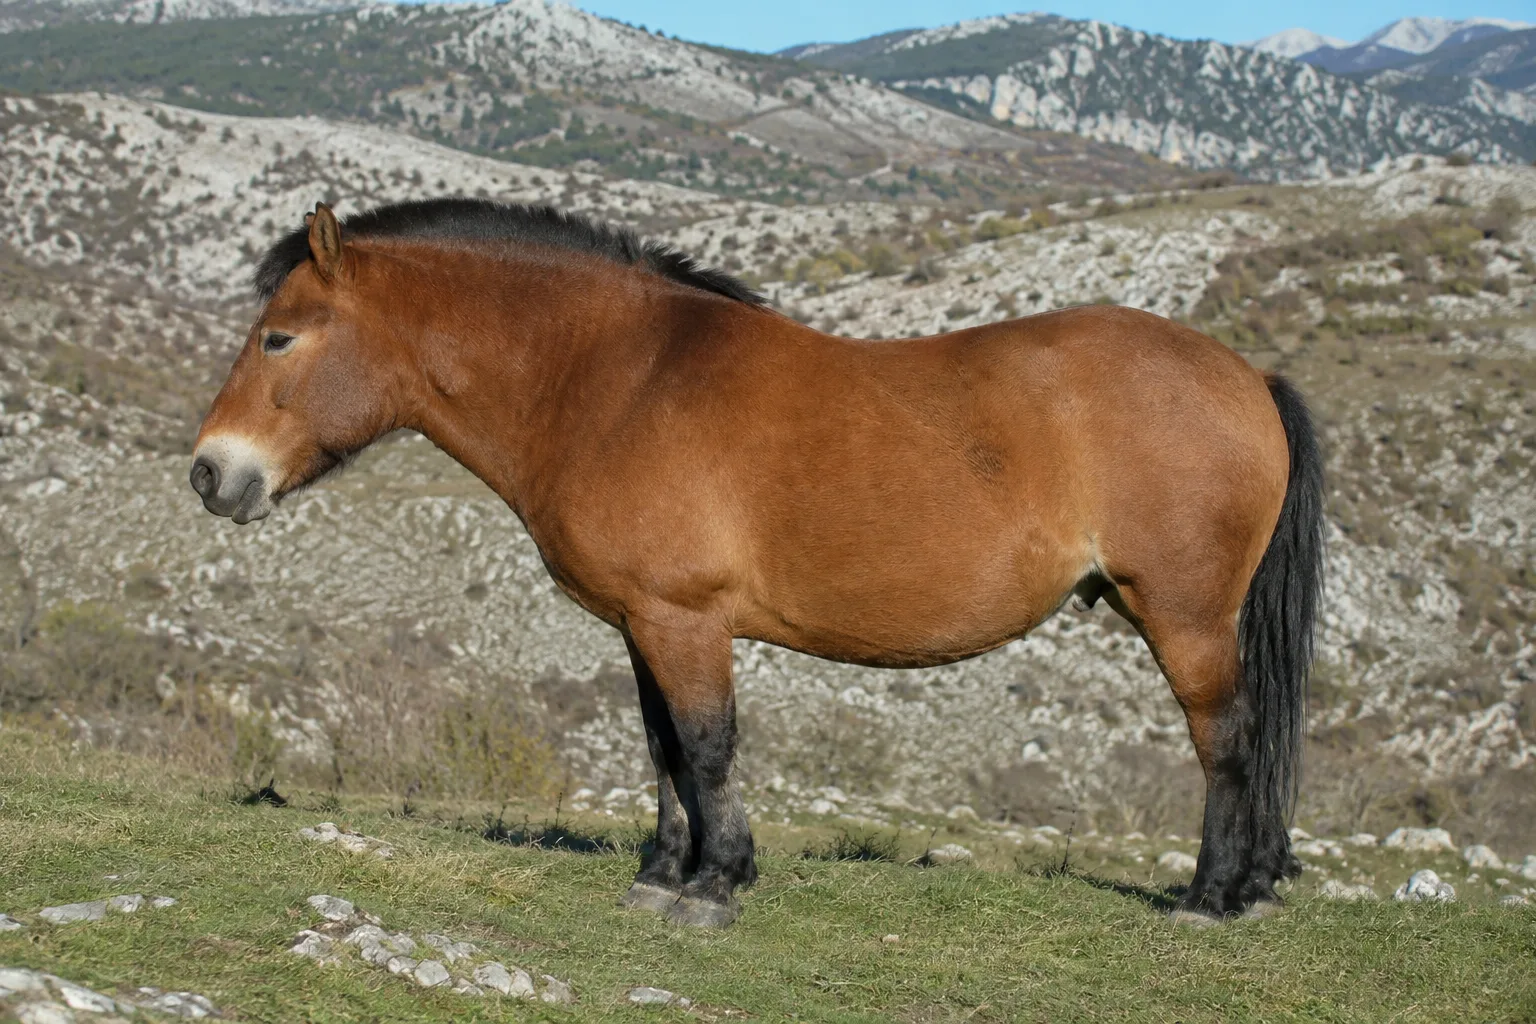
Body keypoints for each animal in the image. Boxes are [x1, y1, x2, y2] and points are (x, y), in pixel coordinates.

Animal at [190, 197, 1324, 928]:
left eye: (280, 337)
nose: (210, 474)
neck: (616, 378)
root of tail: (1247, 376)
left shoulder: (686, 618)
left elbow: (707, 745)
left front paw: (716, 886)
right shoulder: (644, 621)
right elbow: (663, 750)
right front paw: (660, 876)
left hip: (1181, 615)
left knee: (1227, 740)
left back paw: (1210, 900)